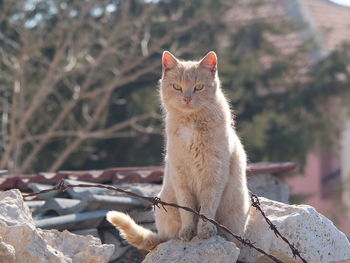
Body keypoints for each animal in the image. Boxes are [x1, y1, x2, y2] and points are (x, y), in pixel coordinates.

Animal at [106, 51, 249, 252]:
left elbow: (207, 208)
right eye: (177, 87)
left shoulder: (214, 175)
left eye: (198, 87)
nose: (187, 98)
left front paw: (205, 230)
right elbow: (187, 209)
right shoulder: (181, 177)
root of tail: (162, 237)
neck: (191, 122)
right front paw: (188, 232)